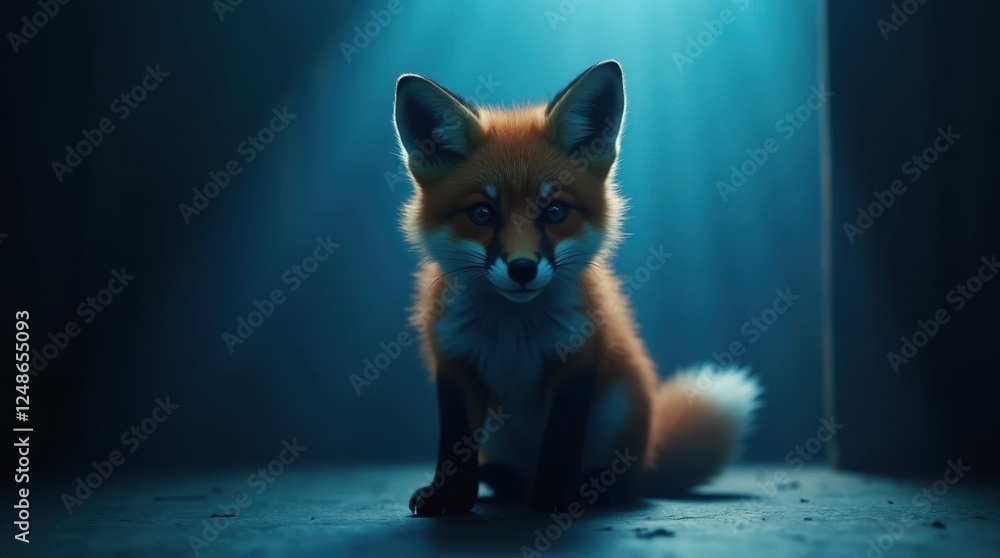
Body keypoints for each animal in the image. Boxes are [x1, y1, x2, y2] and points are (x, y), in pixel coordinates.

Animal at [392, 60, 762, 515]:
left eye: (554, 211)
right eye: (482, 213)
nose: (522, 269)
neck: (513, 329)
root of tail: (651, 454)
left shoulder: (577, 360)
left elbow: (560, 441)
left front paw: (556, 497)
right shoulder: (455, 361)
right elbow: (455, 444)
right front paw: (451, 496)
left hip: (618, 409)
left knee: (622, 479)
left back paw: (599, 489)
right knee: (513, 477)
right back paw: (505, 482)